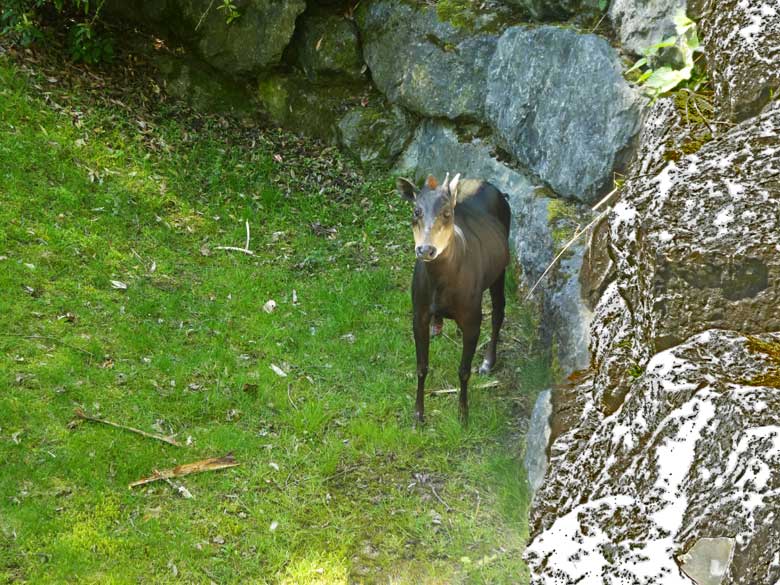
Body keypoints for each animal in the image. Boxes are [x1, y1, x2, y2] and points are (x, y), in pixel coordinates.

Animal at [396, 171, 512, 422]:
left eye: (447, 213)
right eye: (416, 211)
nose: (426, 250)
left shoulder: (472, 318)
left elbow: (464, 370)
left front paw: (463, 416)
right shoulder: (418, 312)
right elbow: (421, 366)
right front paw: (418, 415)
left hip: (500, 270)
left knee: (499, 310)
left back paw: (488, 362)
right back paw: (437, 327)